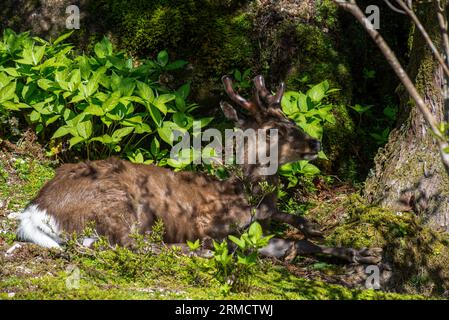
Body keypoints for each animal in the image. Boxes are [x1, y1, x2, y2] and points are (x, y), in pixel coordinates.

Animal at [16, 75, 382, 264]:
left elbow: (300, 244)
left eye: (291, 119)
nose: (315, 142)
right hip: (124, 204)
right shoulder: (210, 223)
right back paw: (198, 252)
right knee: (129, 244)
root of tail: (37, 209)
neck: (242, 198)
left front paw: (366, 253)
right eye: (273, 129)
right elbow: (260, 245)